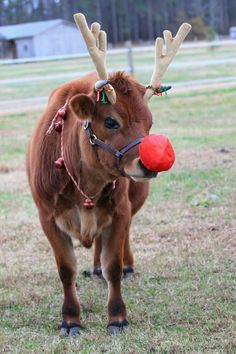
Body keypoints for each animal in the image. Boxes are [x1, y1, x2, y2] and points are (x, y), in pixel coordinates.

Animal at [25, 13, 190, 334]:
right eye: (111, 121)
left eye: (149, 123)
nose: (149, 163)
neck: (84, 186)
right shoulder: (46, 215)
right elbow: (66, 269)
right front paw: (70, 319)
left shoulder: (121, 209)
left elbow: (113, 263)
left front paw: (117, 316)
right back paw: (95, 268)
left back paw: (123, 266)